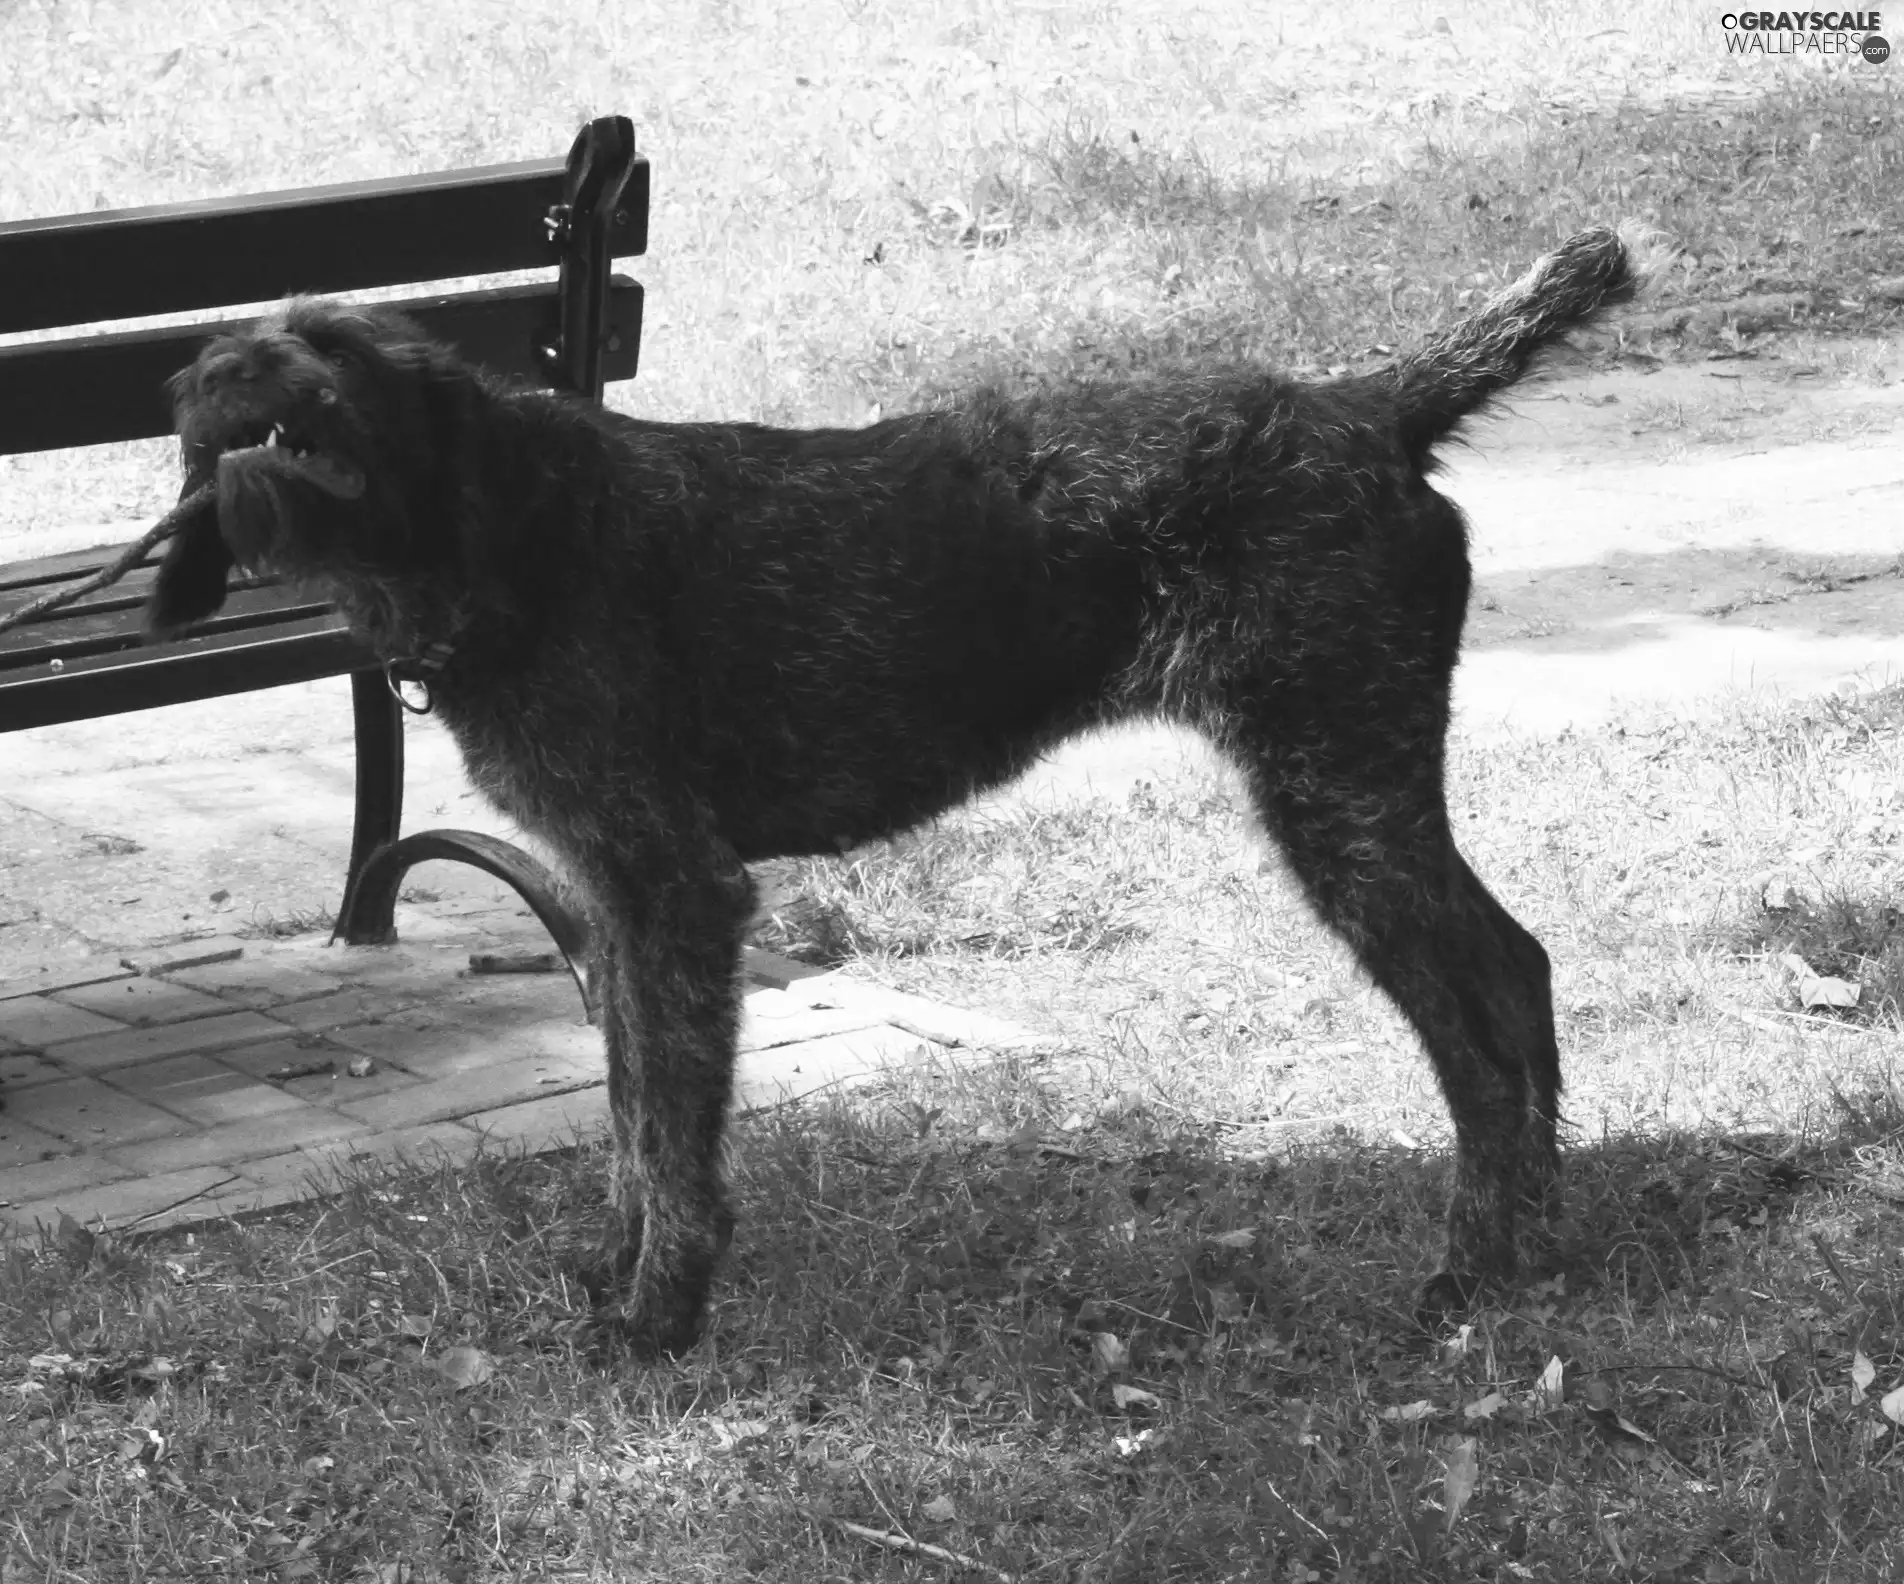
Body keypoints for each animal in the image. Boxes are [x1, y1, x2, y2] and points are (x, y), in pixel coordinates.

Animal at [152, 225, 1652, 1363]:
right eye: (232, 350)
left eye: (336, 347)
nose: (213, 364)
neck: (509, 526)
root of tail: (1369, 405)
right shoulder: (617, 902)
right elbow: (630, 1113)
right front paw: (610, 1268)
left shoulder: (678, 892)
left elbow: (673, 1138)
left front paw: (657, 1321)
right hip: (1365, 799)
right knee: (1514, 971)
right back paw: (1540, 1247)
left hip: (1339, 805)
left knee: (1482, 1015)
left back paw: (1476, 1272)